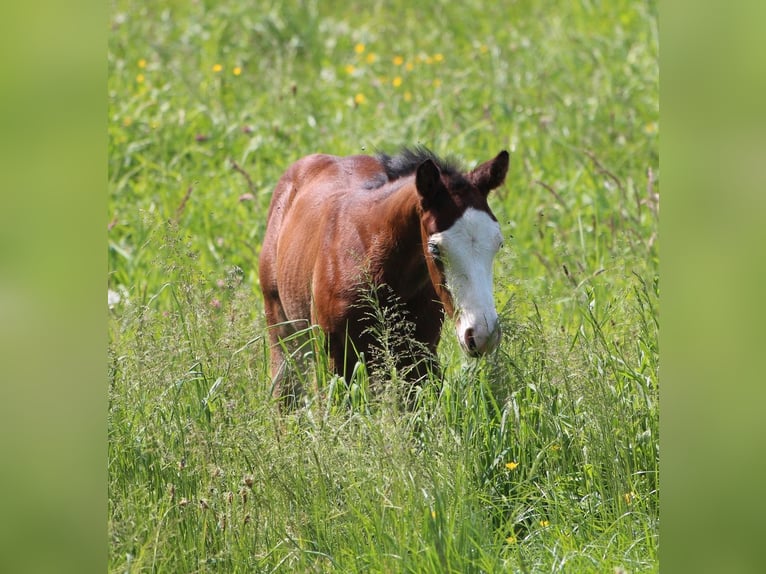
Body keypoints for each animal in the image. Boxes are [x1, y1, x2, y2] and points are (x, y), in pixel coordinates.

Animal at [260, 148, 510, 410]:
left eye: (498, 244)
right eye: (434, 249)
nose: (483, 335)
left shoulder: (420, 355)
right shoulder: (334, 357)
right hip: (283, 332)